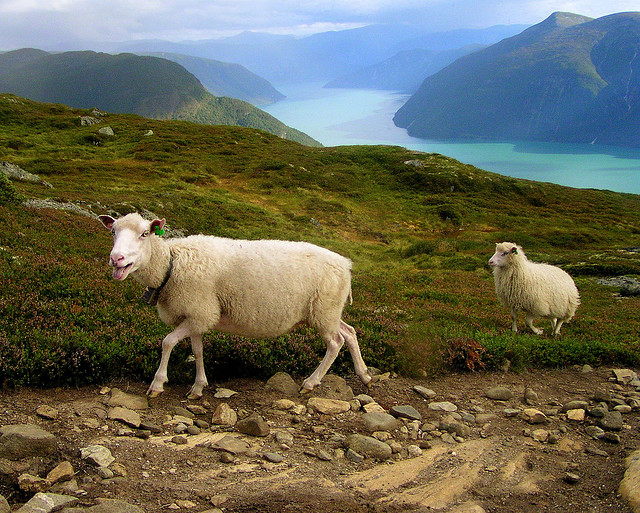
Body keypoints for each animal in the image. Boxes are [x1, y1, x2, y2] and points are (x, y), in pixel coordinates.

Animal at [97, 212, 372, 396]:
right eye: (113, 232)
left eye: (145, 234)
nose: (116, 259)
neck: (171, 265)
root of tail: (346, 264)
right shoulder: (197, 315)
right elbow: (197, 350)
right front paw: (198, 387)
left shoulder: (201, 311)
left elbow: (167, 342)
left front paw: (157, 384)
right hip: (328, 311)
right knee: (349, 332)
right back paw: (364, 374)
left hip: (324, 311)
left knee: (335, 342)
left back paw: (310, 383)